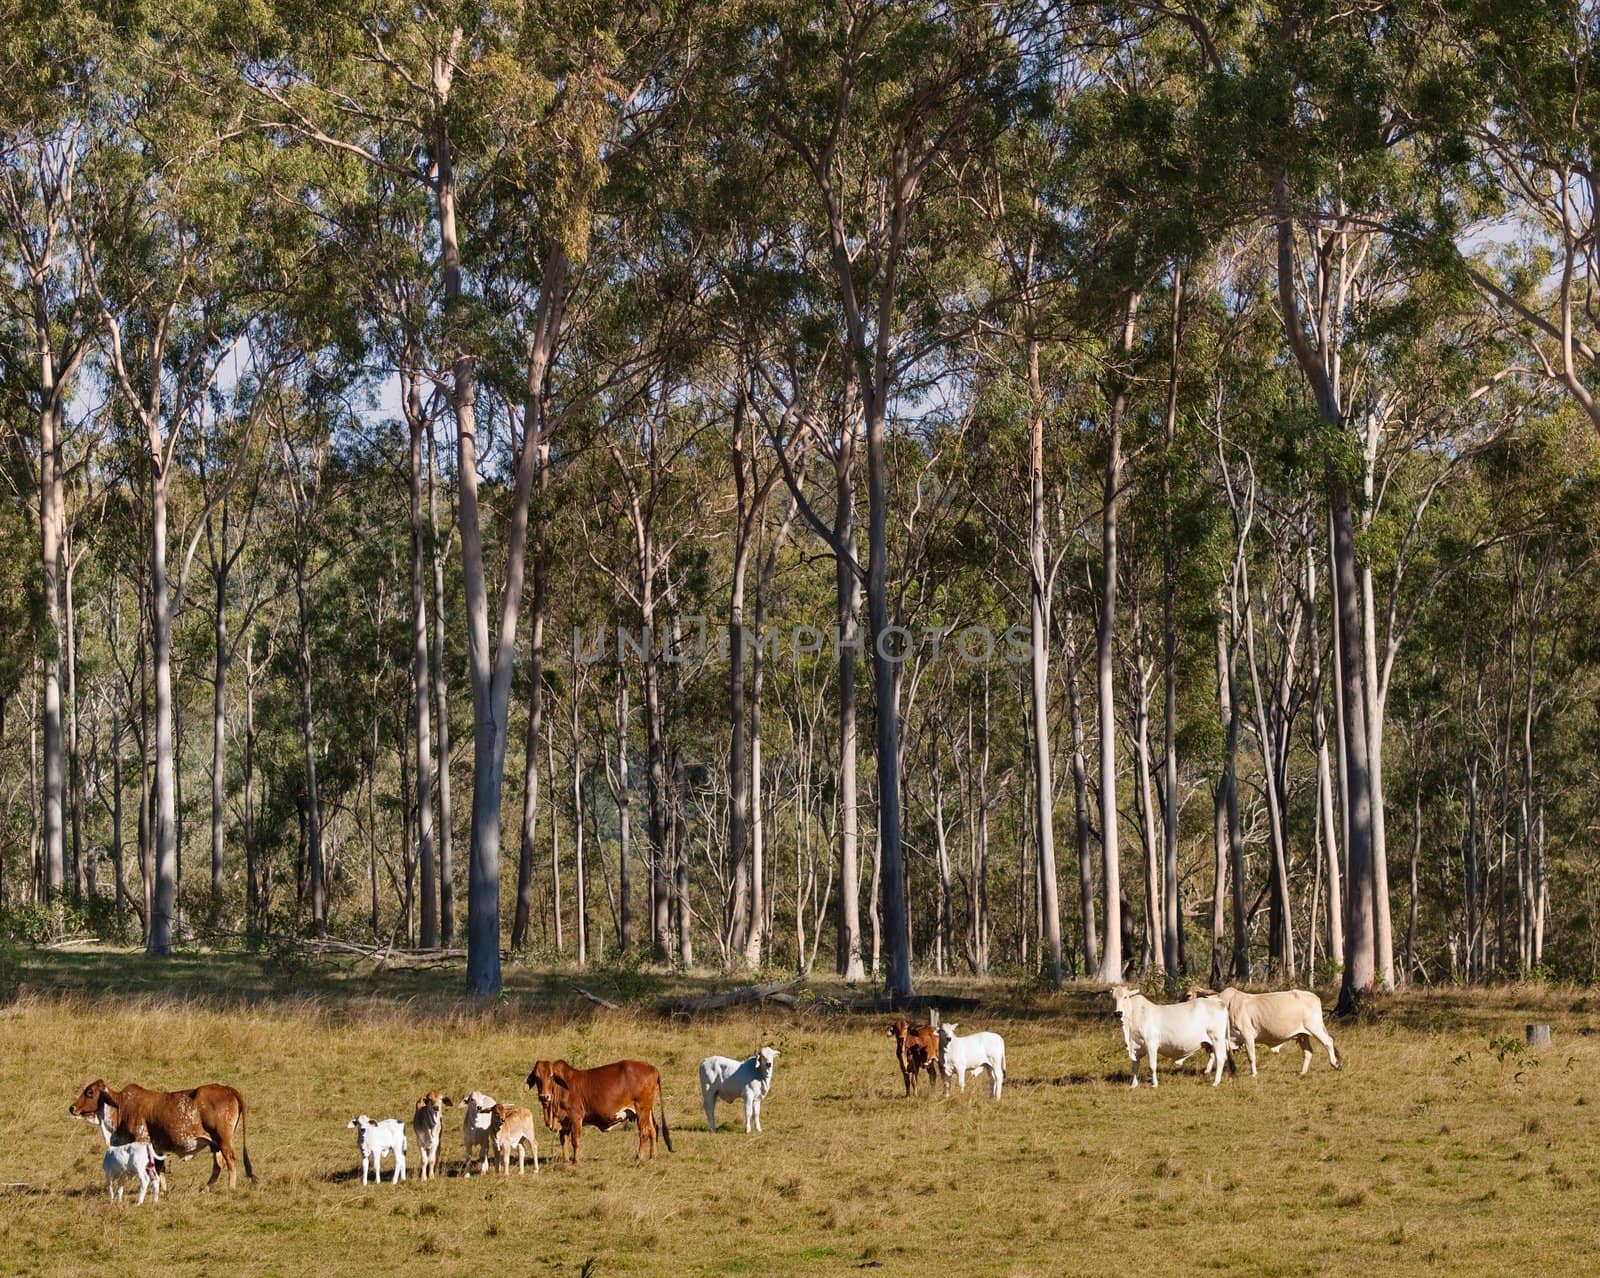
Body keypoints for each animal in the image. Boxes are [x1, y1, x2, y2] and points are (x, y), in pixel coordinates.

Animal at [70, 1081, 252, 1190]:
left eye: (90, 1092)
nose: (72, 1108)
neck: (121, 1107)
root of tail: (228, 1089)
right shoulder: (156, 1147)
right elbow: (159, 1167)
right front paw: (162, 1190)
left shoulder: (141, 1140)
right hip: (215, 1144)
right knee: (218, 1165)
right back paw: (206, 1188)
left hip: (223, 1140)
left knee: (230, 1161)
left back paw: (231, 1187)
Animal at [528, 1055, 672, 1164]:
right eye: (537, 1077)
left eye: (551, 1076)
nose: (544, 1097)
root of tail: (653, 1068)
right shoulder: (564, 1122)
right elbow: (563, 1140)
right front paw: (566, 1160)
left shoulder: (576, 1117)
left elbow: (575, 1140)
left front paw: (576, 1161)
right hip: (647, 1111)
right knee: (653, 1130)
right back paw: (652, 1156)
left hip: (641, 1110)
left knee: (644, 1132)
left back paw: (638, 1157)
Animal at [1190, 991, 1337, 1081]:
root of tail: (1315, 997)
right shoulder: (1225, 1038)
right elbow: (1215, 1054)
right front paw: (1208, 1071)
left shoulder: (1247, 1035)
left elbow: (1251, 1057)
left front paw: (1253, 1073)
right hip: (1302, 1034)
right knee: (1308, 1052)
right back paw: (1303, 1072)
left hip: (1315, 1028)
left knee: (1328, 1042)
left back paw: (1335, 1064)